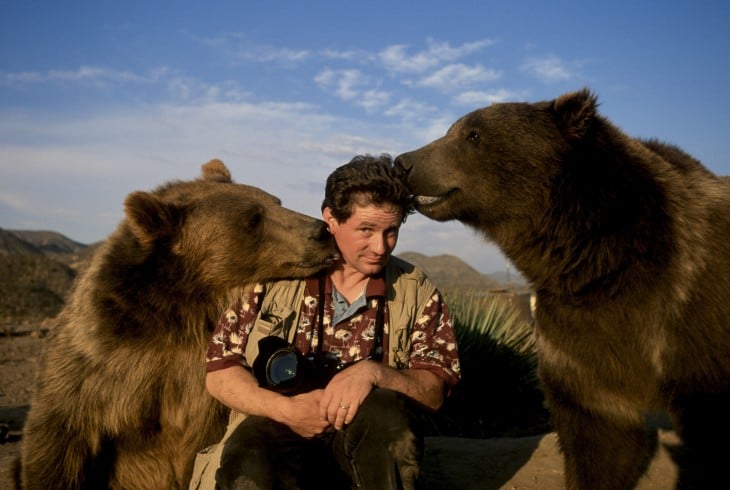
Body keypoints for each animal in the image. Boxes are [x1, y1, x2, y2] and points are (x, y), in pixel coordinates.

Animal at [19, 159, 336, 488]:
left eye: (276, 201)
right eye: (253, 219)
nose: (321, 231)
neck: (184, 312)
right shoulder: (97, 369)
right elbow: (58, 443)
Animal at [396, 89, 724, 490]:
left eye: (472, 134)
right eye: (451, 129)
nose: (404, 162)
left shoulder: (690, 310)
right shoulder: (578, 336)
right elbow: (598, 435)